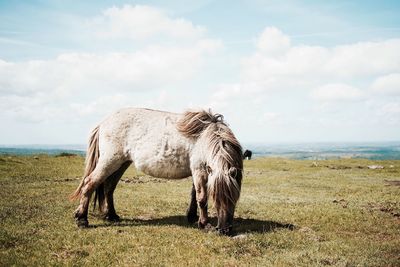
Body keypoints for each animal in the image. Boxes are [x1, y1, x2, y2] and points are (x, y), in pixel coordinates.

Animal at [70, 108, 242, 236]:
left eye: (234, 198)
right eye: (216, 197)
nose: (224, 230)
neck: (203, 137)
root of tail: (103, 123)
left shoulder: (200, 171)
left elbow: (194, 194)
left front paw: (192, 216)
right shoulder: (199, 170)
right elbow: (201, 198)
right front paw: (205, 224)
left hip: (121, 164)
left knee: (109, 188)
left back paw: (111, 215)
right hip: (110, 162)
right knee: (89, 183)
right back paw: (82, 219)